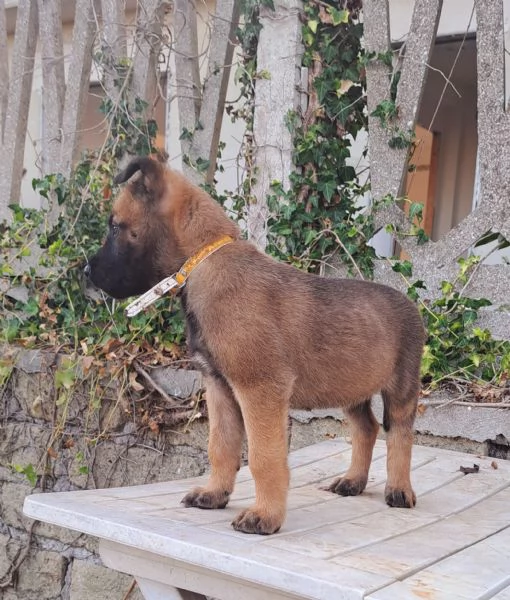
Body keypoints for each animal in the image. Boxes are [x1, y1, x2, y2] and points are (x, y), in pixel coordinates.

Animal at [86, 156, 426, 536]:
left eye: (116, 227)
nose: (86, 271)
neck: (203, 260)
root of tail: (411, 302)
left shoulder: (259, 389)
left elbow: (265, 458)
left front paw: (265, 515)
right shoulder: (219, 387)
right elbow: (221, 445)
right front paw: (215, 493)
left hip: (401, 387)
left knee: (400, 434)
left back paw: (399, 488)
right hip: (351, 386)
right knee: (366, 427)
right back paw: (353, 480)